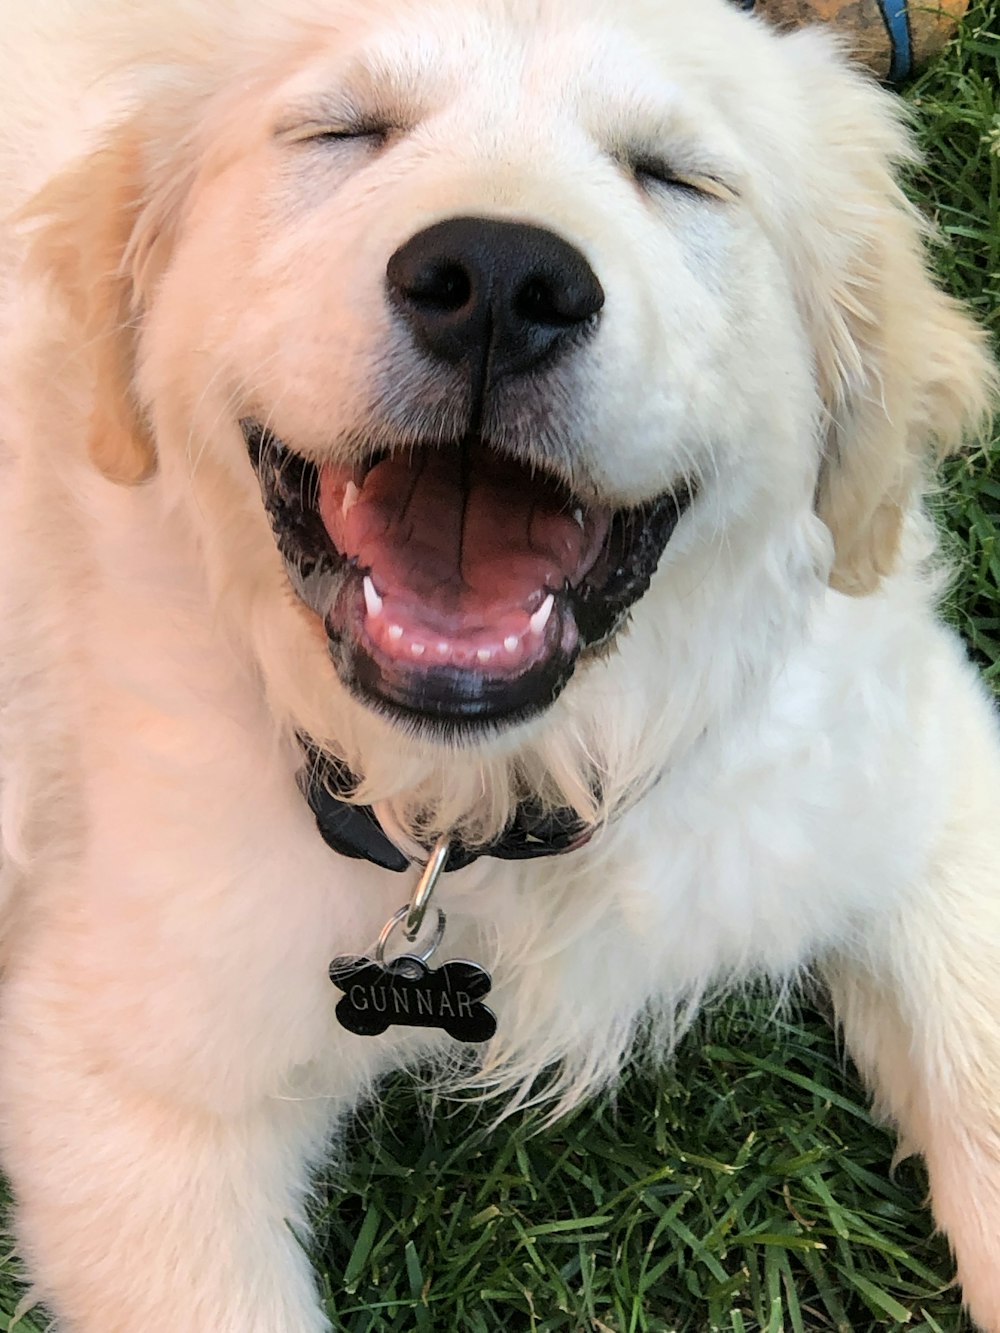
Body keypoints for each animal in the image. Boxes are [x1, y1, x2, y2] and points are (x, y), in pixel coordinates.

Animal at [0, 0, 997, 1327]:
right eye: (342, 130)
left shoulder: (908, 774)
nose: (496, 284)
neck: (489, 796)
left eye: (677, 176)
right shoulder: (122, 1088)